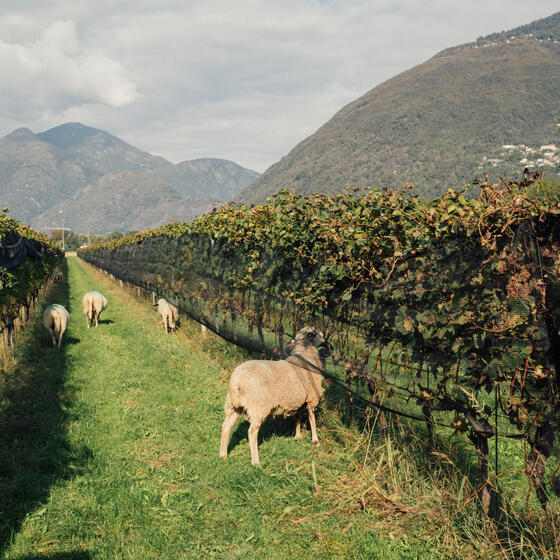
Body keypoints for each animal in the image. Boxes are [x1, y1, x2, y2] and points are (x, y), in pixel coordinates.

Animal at [219, 326, 328, 466]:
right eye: (318, 333)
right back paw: (256, 462)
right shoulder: (312, 399)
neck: (307, 355)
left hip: (233, 406)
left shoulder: (298, 400)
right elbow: (312, 420)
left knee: (226, 426)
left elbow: (298, 416)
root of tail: (236, 381)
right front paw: (316, 441)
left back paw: (223, 455)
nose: (326, 343)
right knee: (252, 432)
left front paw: (297, 436)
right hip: (258, 407)